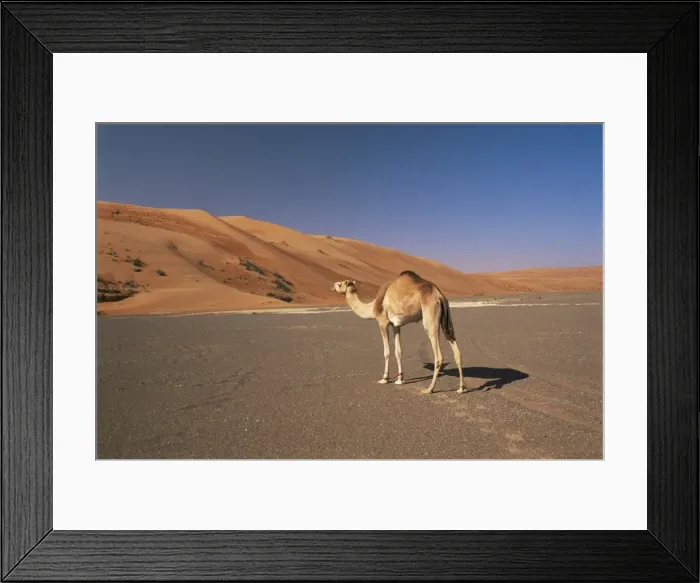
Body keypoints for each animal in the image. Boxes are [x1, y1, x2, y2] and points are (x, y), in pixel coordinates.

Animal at [332, 271, 466, 394]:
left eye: (340, 284)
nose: (332, 286)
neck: (373, 306)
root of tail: (439, 296)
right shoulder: (396, 325)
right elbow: (398, 351)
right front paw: (400, 379)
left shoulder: (383, 322)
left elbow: (387, 352)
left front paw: (385, 378)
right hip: (446, 319)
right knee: (456, 349)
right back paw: (461, 388)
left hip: (430, 317)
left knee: (438, 356)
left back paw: (429, 389)